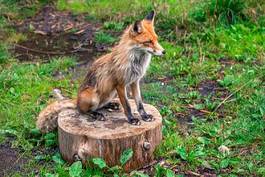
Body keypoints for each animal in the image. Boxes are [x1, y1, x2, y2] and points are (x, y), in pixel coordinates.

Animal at [36, 10, 164, 133]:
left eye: (156, 39)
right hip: (93, 96)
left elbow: (139, 103)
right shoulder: (120, 84)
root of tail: (76, 99)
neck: (135, 62)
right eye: (148, 41)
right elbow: (127, 105)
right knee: (82, 110)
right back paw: (96, 114)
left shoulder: (134, 82)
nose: (164, 52)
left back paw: (110, 105)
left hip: (111, 92)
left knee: (100, 105)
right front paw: (132, 119)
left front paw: (145, 116)